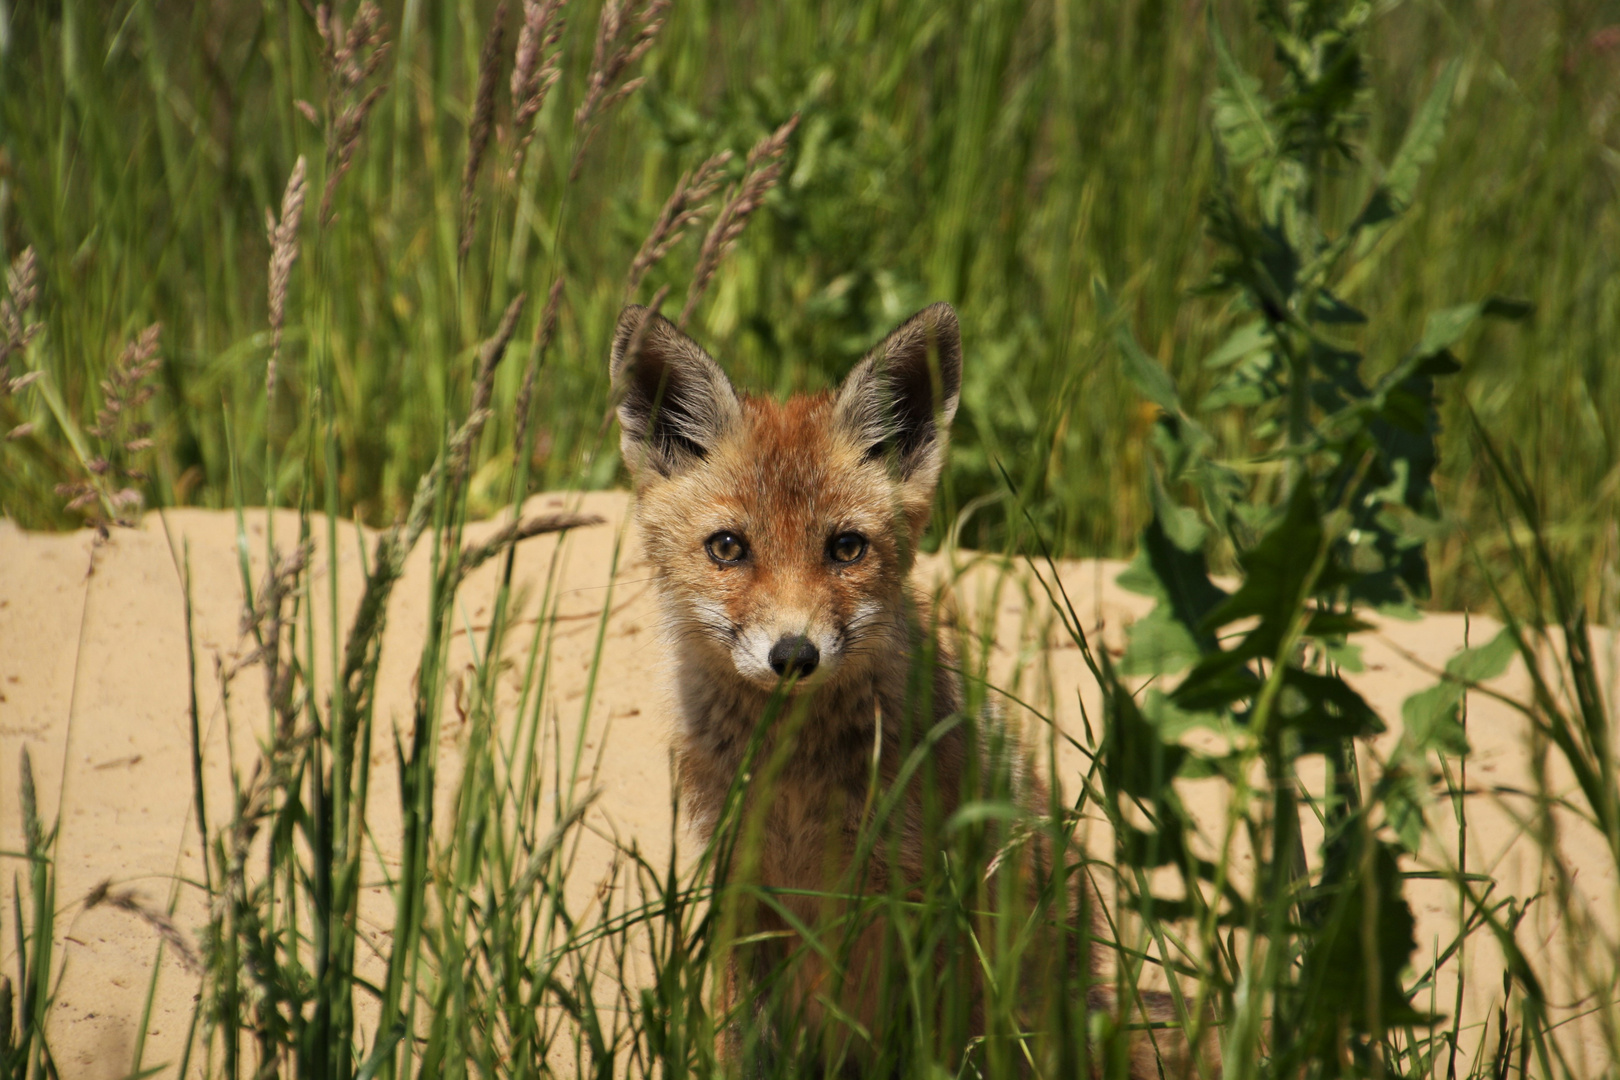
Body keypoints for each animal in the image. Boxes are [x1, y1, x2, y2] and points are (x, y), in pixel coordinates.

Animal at [609, 299, 1218, 1075]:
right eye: (727, 548)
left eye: (846, 548)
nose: (794, 654)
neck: (796, 782)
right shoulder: (746, 886)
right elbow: (739, 1040)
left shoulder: (912, 903)